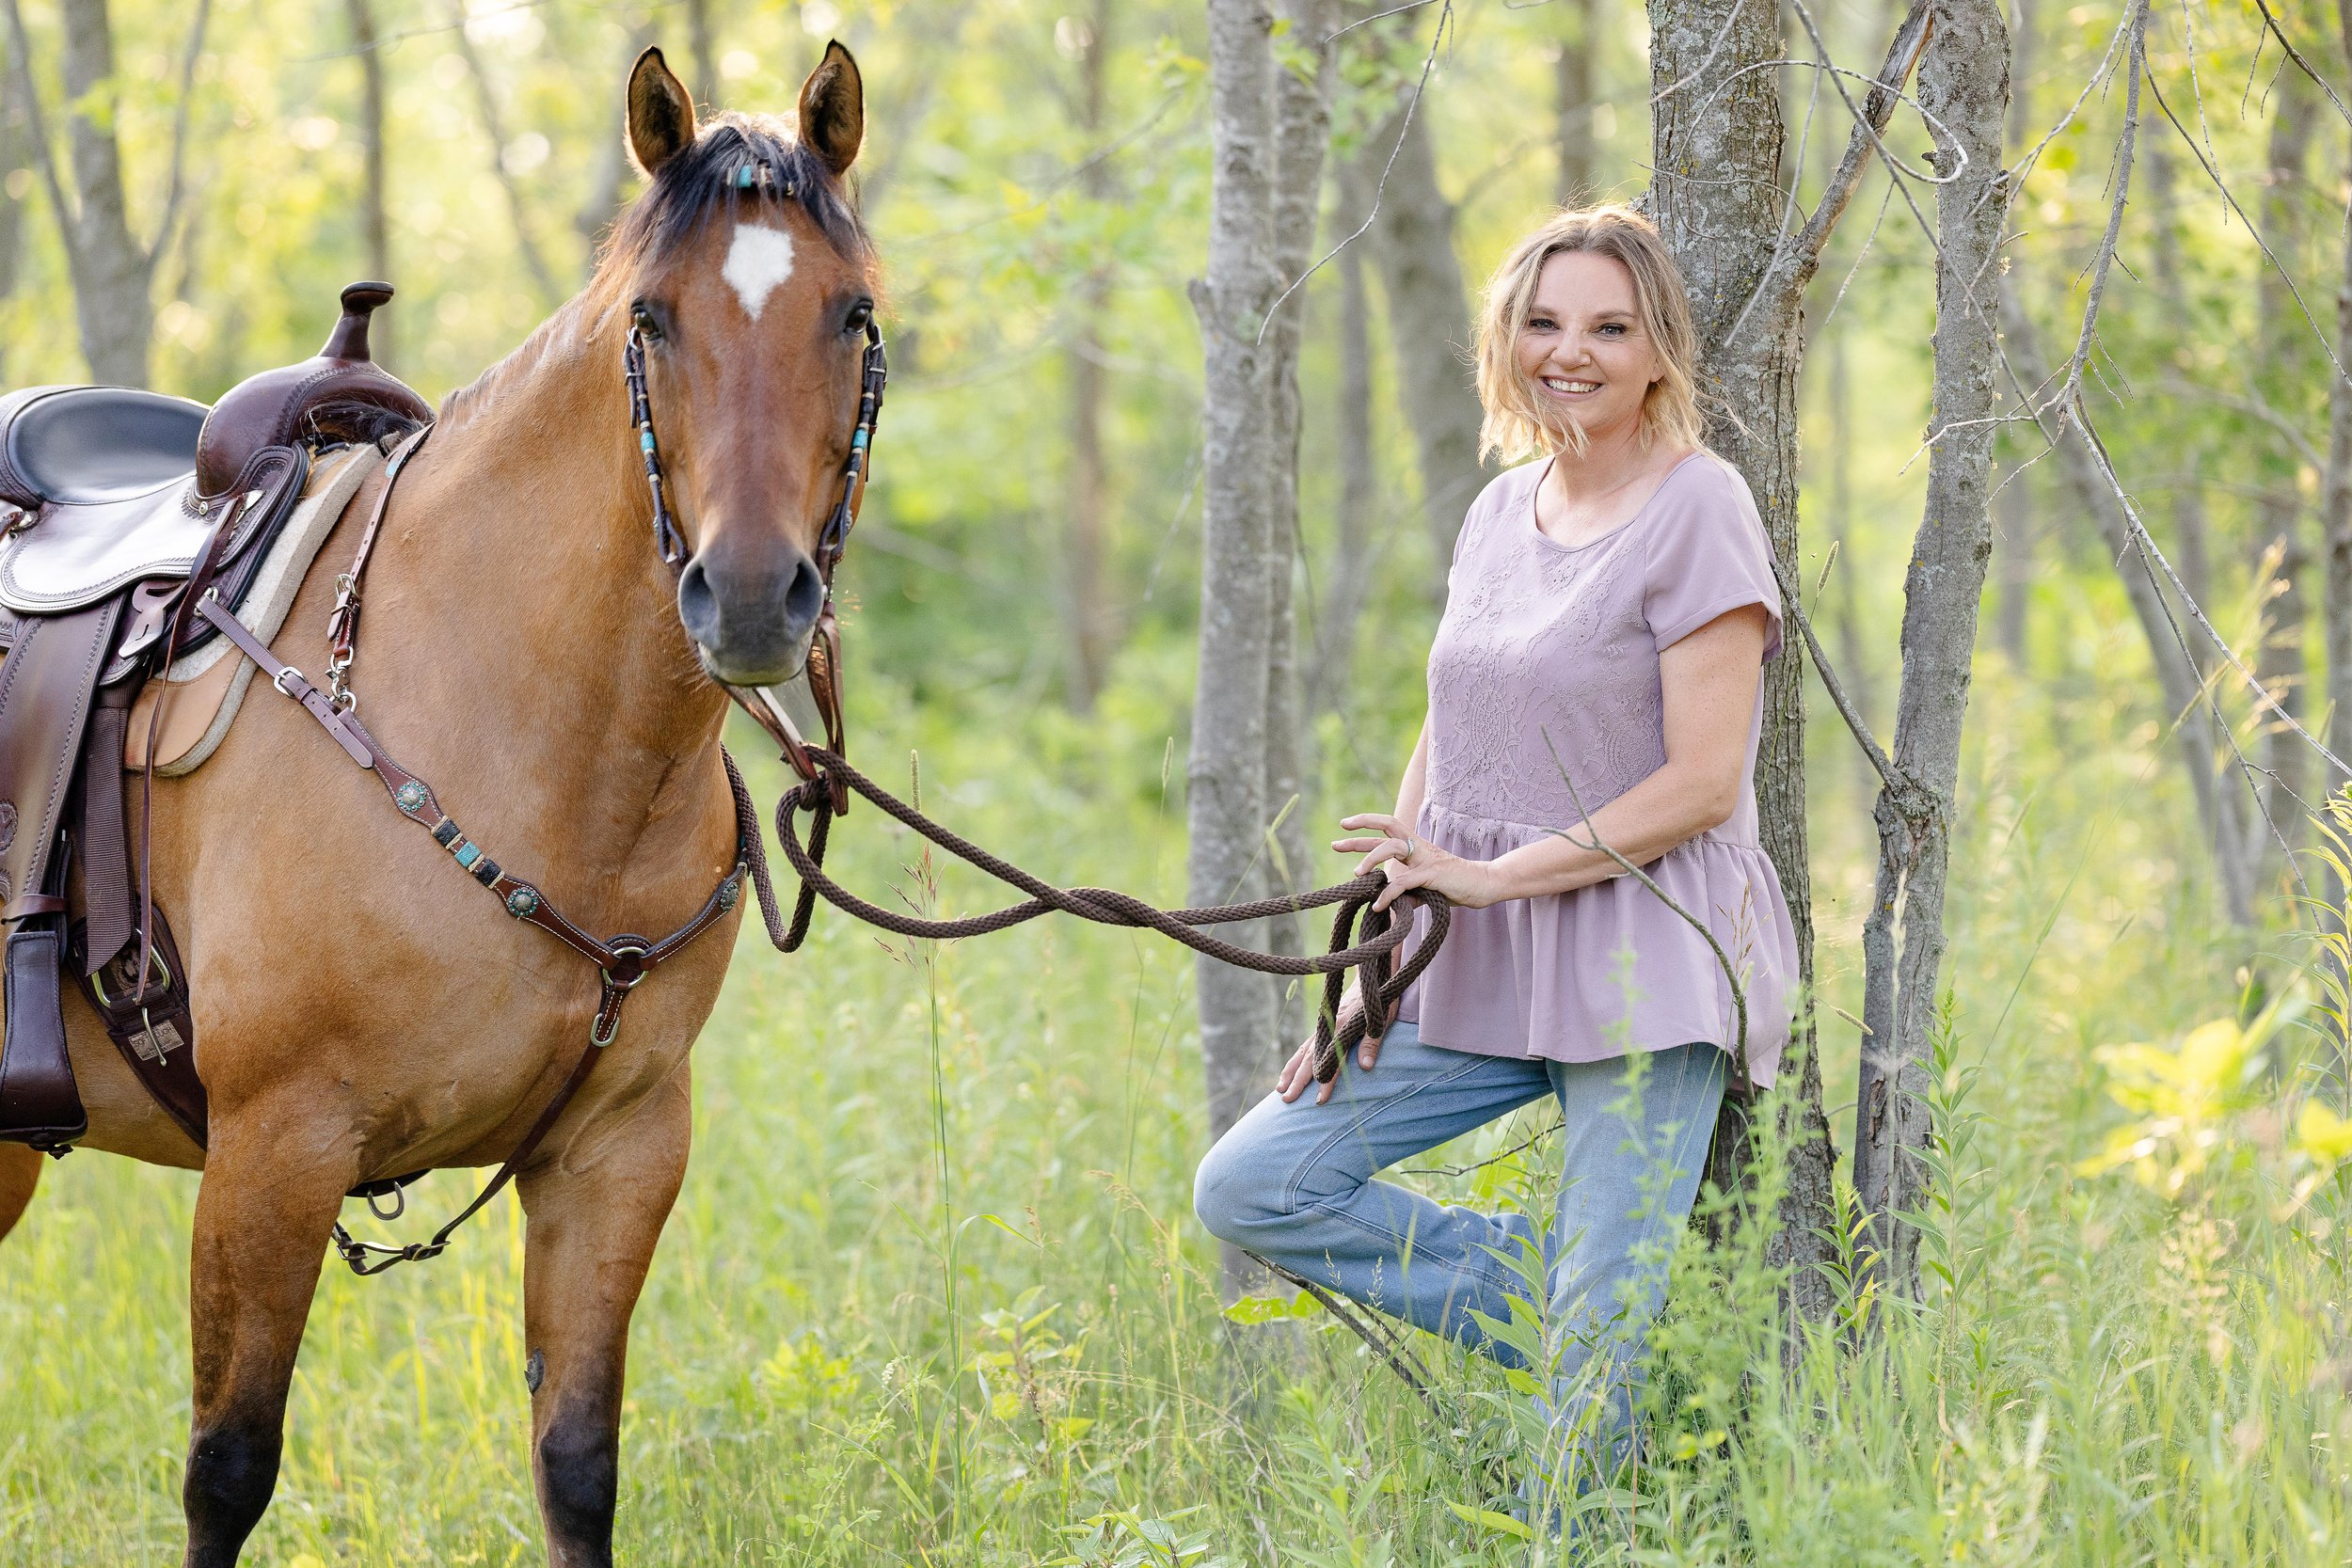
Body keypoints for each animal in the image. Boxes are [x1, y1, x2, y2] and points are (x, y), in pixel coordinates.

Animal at [0, 42, 884, 1560]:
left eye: (852, 314)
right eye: (651, 321)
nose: (753, 595)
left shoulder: (617, 1149)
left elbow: (576, 1464)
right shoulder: (275, 1150)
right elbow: (226, 1469)